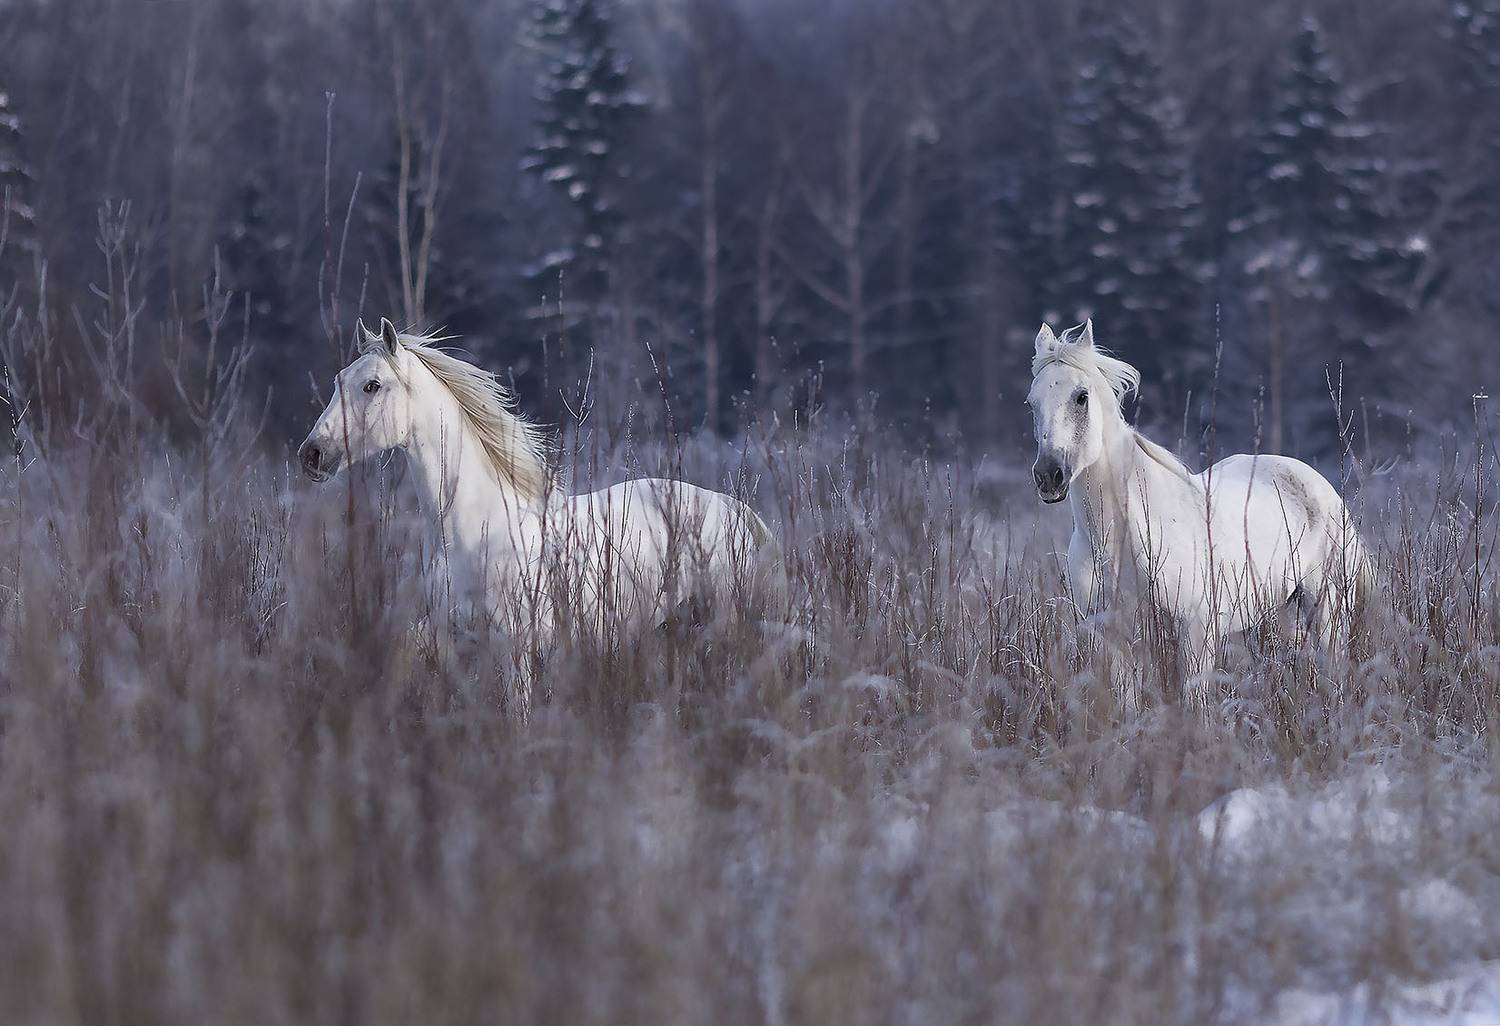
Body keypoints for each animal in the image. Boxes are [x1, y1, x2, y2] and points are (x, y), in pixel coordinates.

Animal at [298, 318, 780, 689]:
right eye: (339, 381)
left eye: (372, 385)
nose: (313, 455)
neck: (476, 529)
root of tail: (734, 509)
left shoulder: (515, 650)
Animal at [1026, 320, 1371, 695]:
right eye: (1031, 403)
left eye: (1081, 397)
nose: (1049, 476)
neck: (1120, 539)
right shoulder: (1112, 638)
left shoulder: (1196, 632)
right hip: (1284, 612)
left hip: (1327, 610)